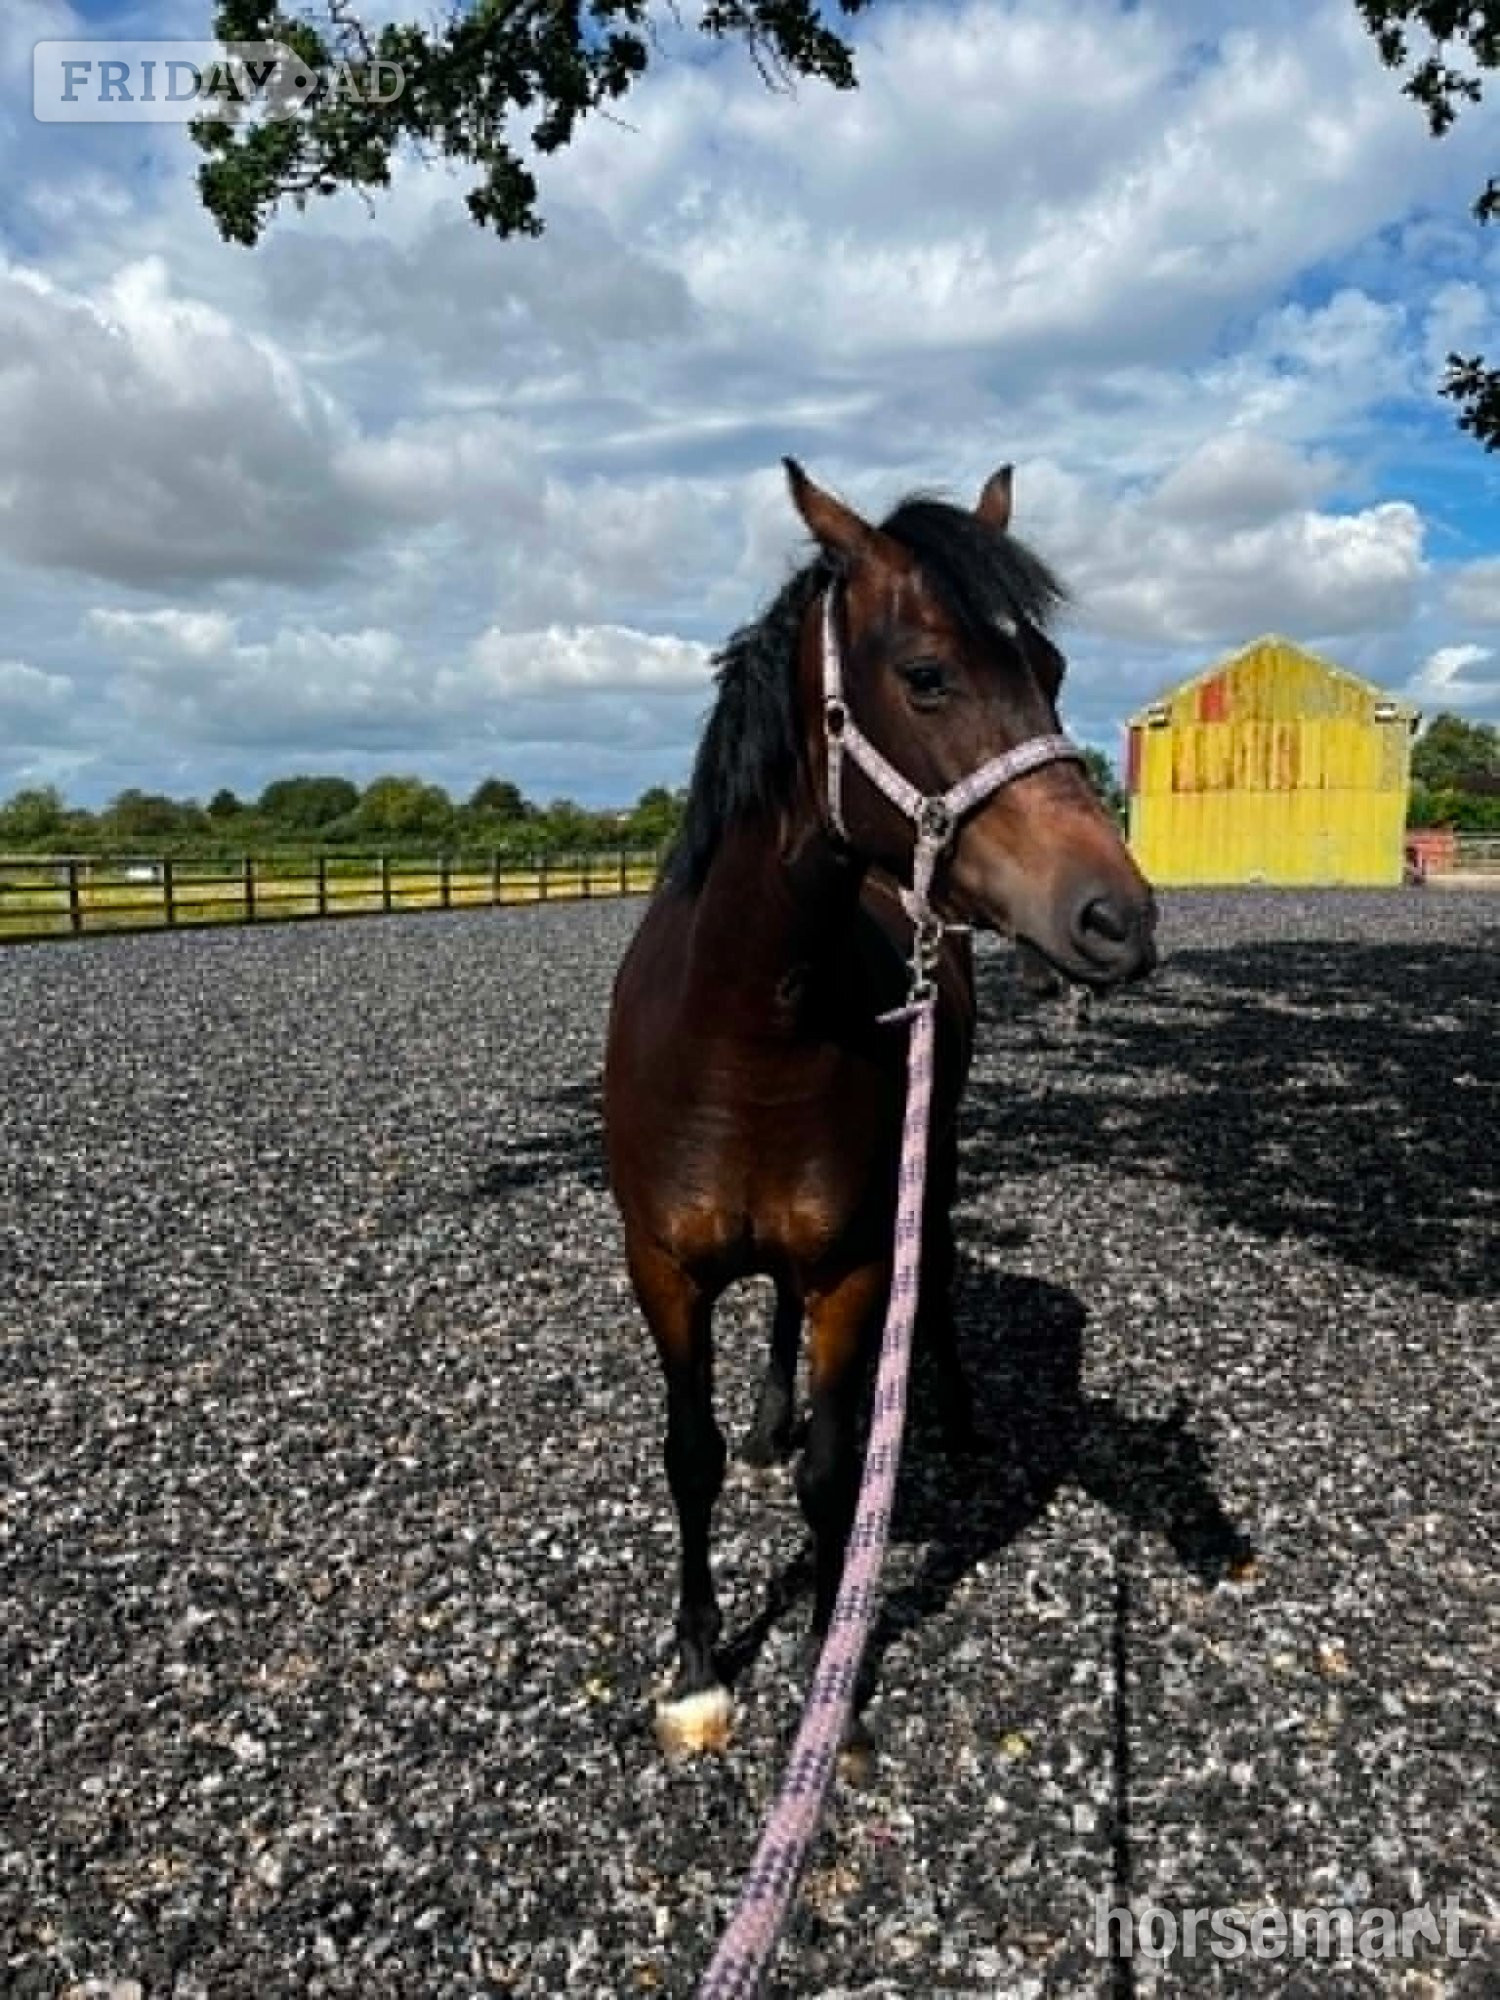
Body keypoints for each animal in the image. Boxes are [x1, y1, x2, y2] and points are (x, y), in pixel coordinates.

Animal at [604, 459, 1157, 1756]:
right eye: (927, 675)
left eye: (1052, 668)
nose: (1119, 918)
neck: (744, 1025)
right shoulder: (663, 1266)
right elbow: (690, 1454)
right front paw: (697, 1667)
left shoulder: (856, 1264)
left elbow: (836, 1471)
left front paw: (828, 1686)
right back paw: (772, 1413)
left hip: (935, 1154)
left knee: (937, 1266)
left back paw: (950, 1410)